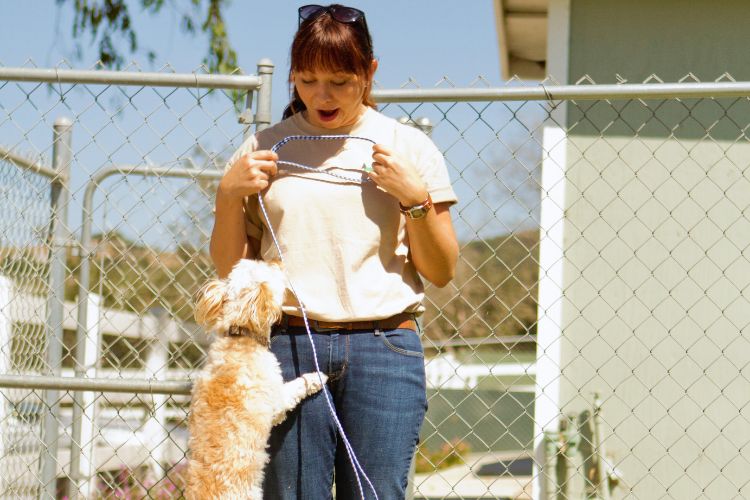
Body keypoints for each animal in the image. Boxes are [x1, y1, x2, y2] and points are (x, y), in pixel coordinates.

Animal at [187, 260, 326, 498]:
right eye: (269, 270)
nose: (276, 261)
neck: (239, 336)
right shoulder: (276, 397)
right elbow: (295, 389)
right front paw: (316, 378)